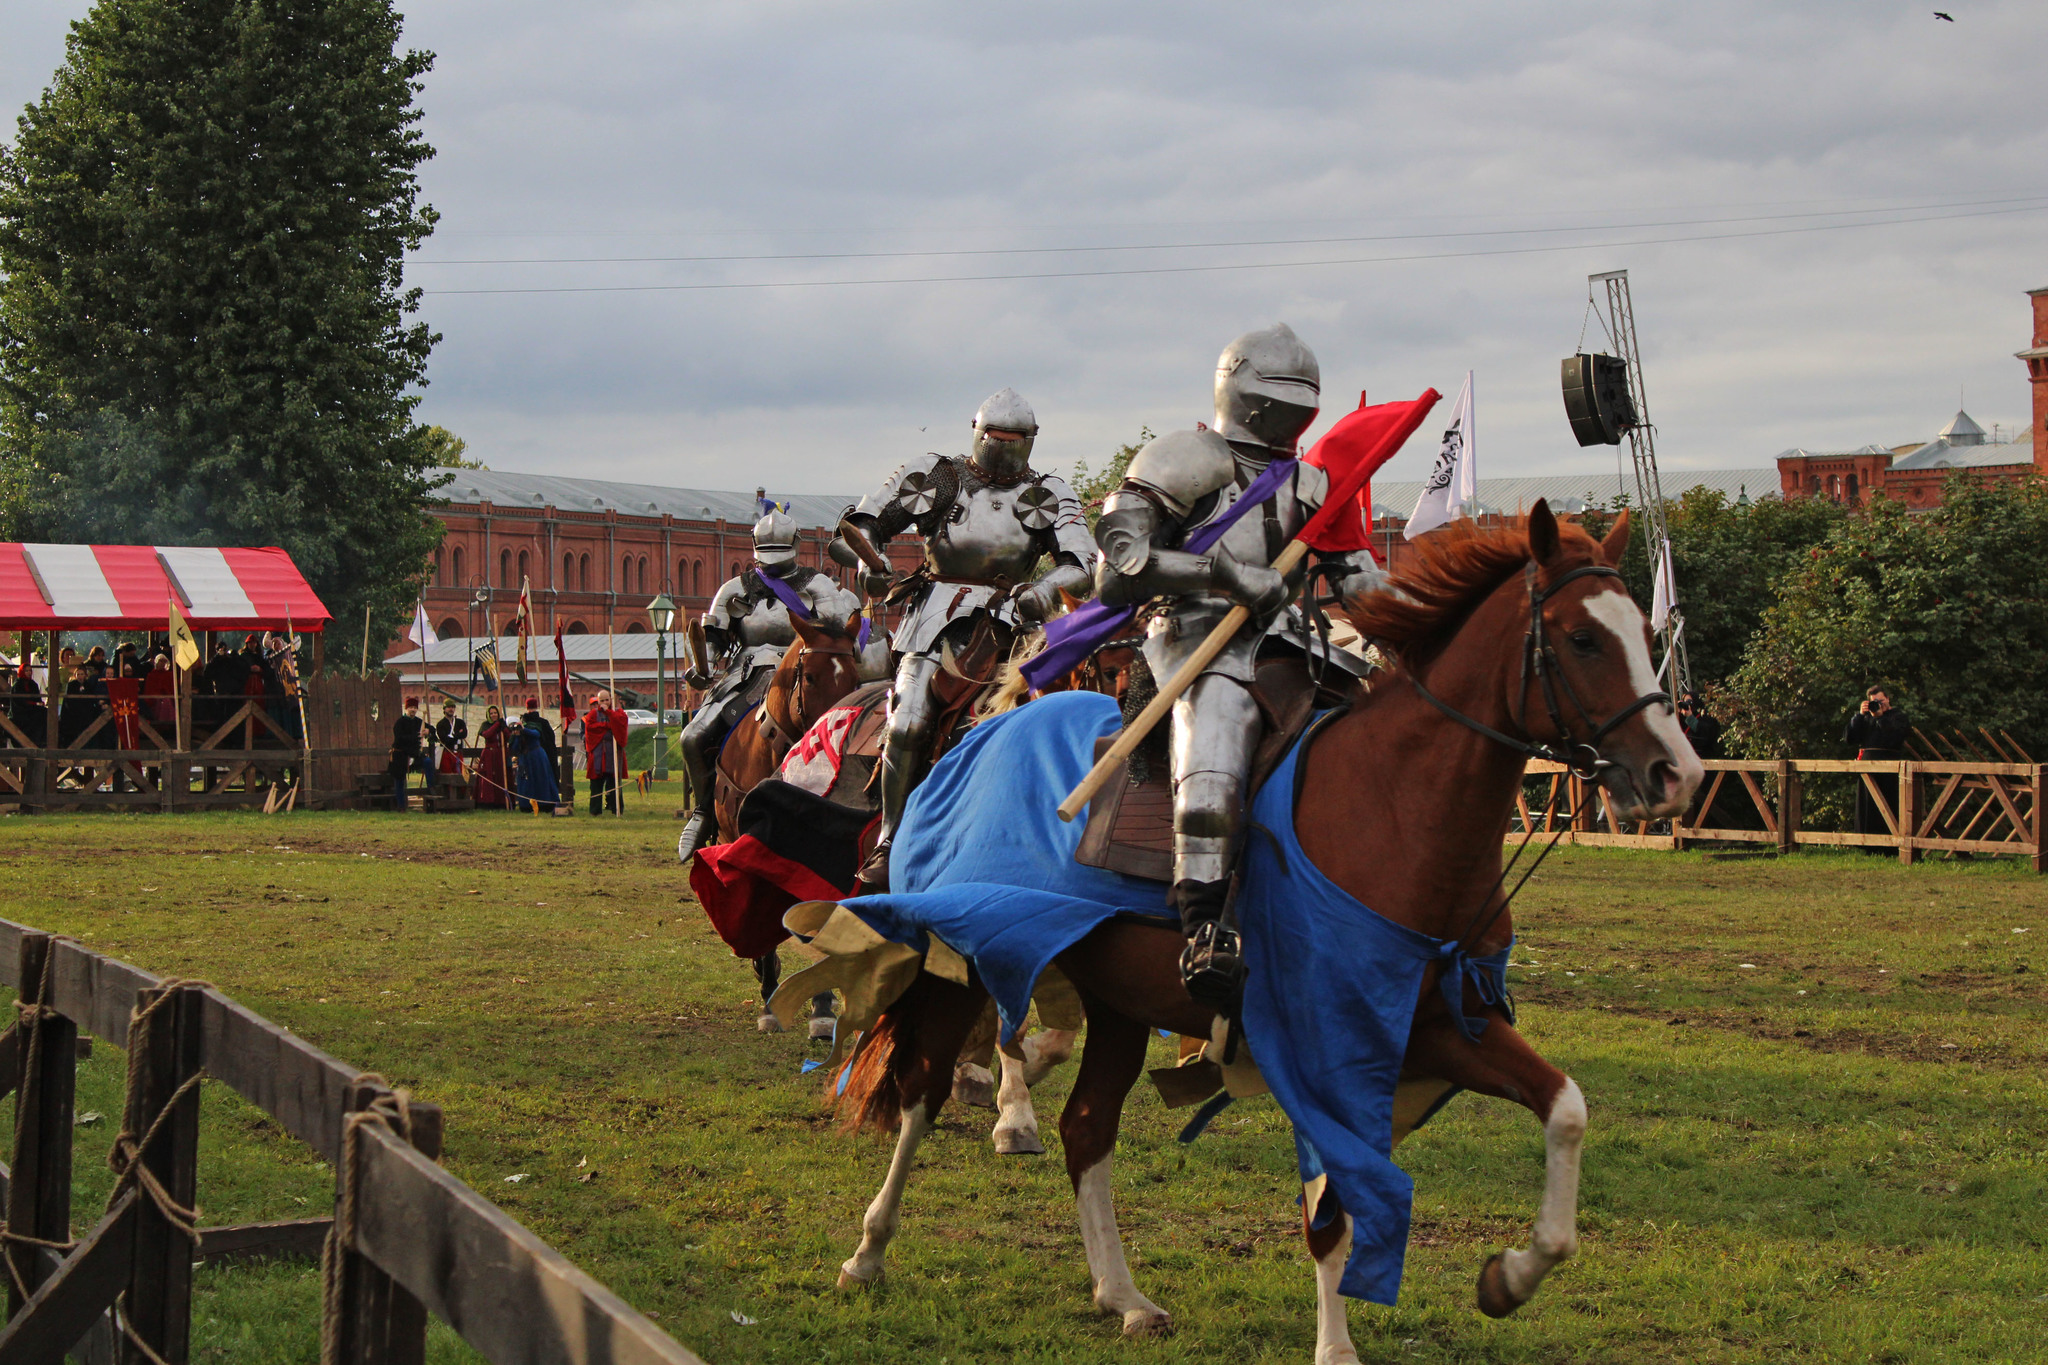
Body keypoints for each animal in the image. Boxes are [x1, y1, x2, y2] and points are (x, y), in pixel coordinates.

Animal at [823, 505, 1703, 1358]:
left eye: (1644, 631)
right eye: (1583, 638)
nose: (1678, 774)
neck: (1396, 804)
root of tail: (975, 736)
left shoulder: (1445, 1023)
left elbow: (1566, 1108)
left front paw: (1511, 1277)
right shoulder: (1323, 1043)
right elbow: (1330, 1214)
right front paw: (1338, 1348)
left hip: (1118, 998)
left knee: (1086, 1126)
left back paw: (1123, 1295)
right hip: (967, 959)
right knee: (922, 1090)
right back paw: (870, 1248)